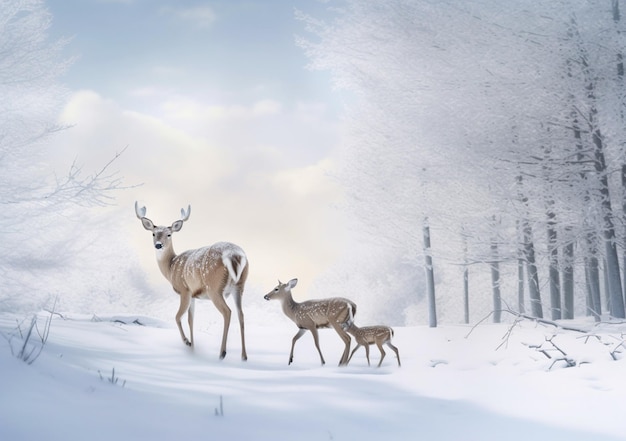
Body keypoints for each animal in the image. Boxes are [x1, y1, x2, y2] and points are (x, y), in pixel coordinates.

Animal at [135, 201, 247, 360]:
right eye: (153, 233)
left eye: (169, 234)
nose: (158, 245)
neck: (171, 267)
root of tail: (234, 255)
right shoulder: (194, 295)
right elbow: (191, 320)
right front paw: (193, 349)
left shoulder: (184, 290)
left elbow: (177, 317)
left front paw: (187, 343)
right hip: (239, 286)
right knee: (241, 314)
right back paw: (244, 356)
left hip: (214, 287)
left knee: (227, 312)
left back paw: (222, 353)